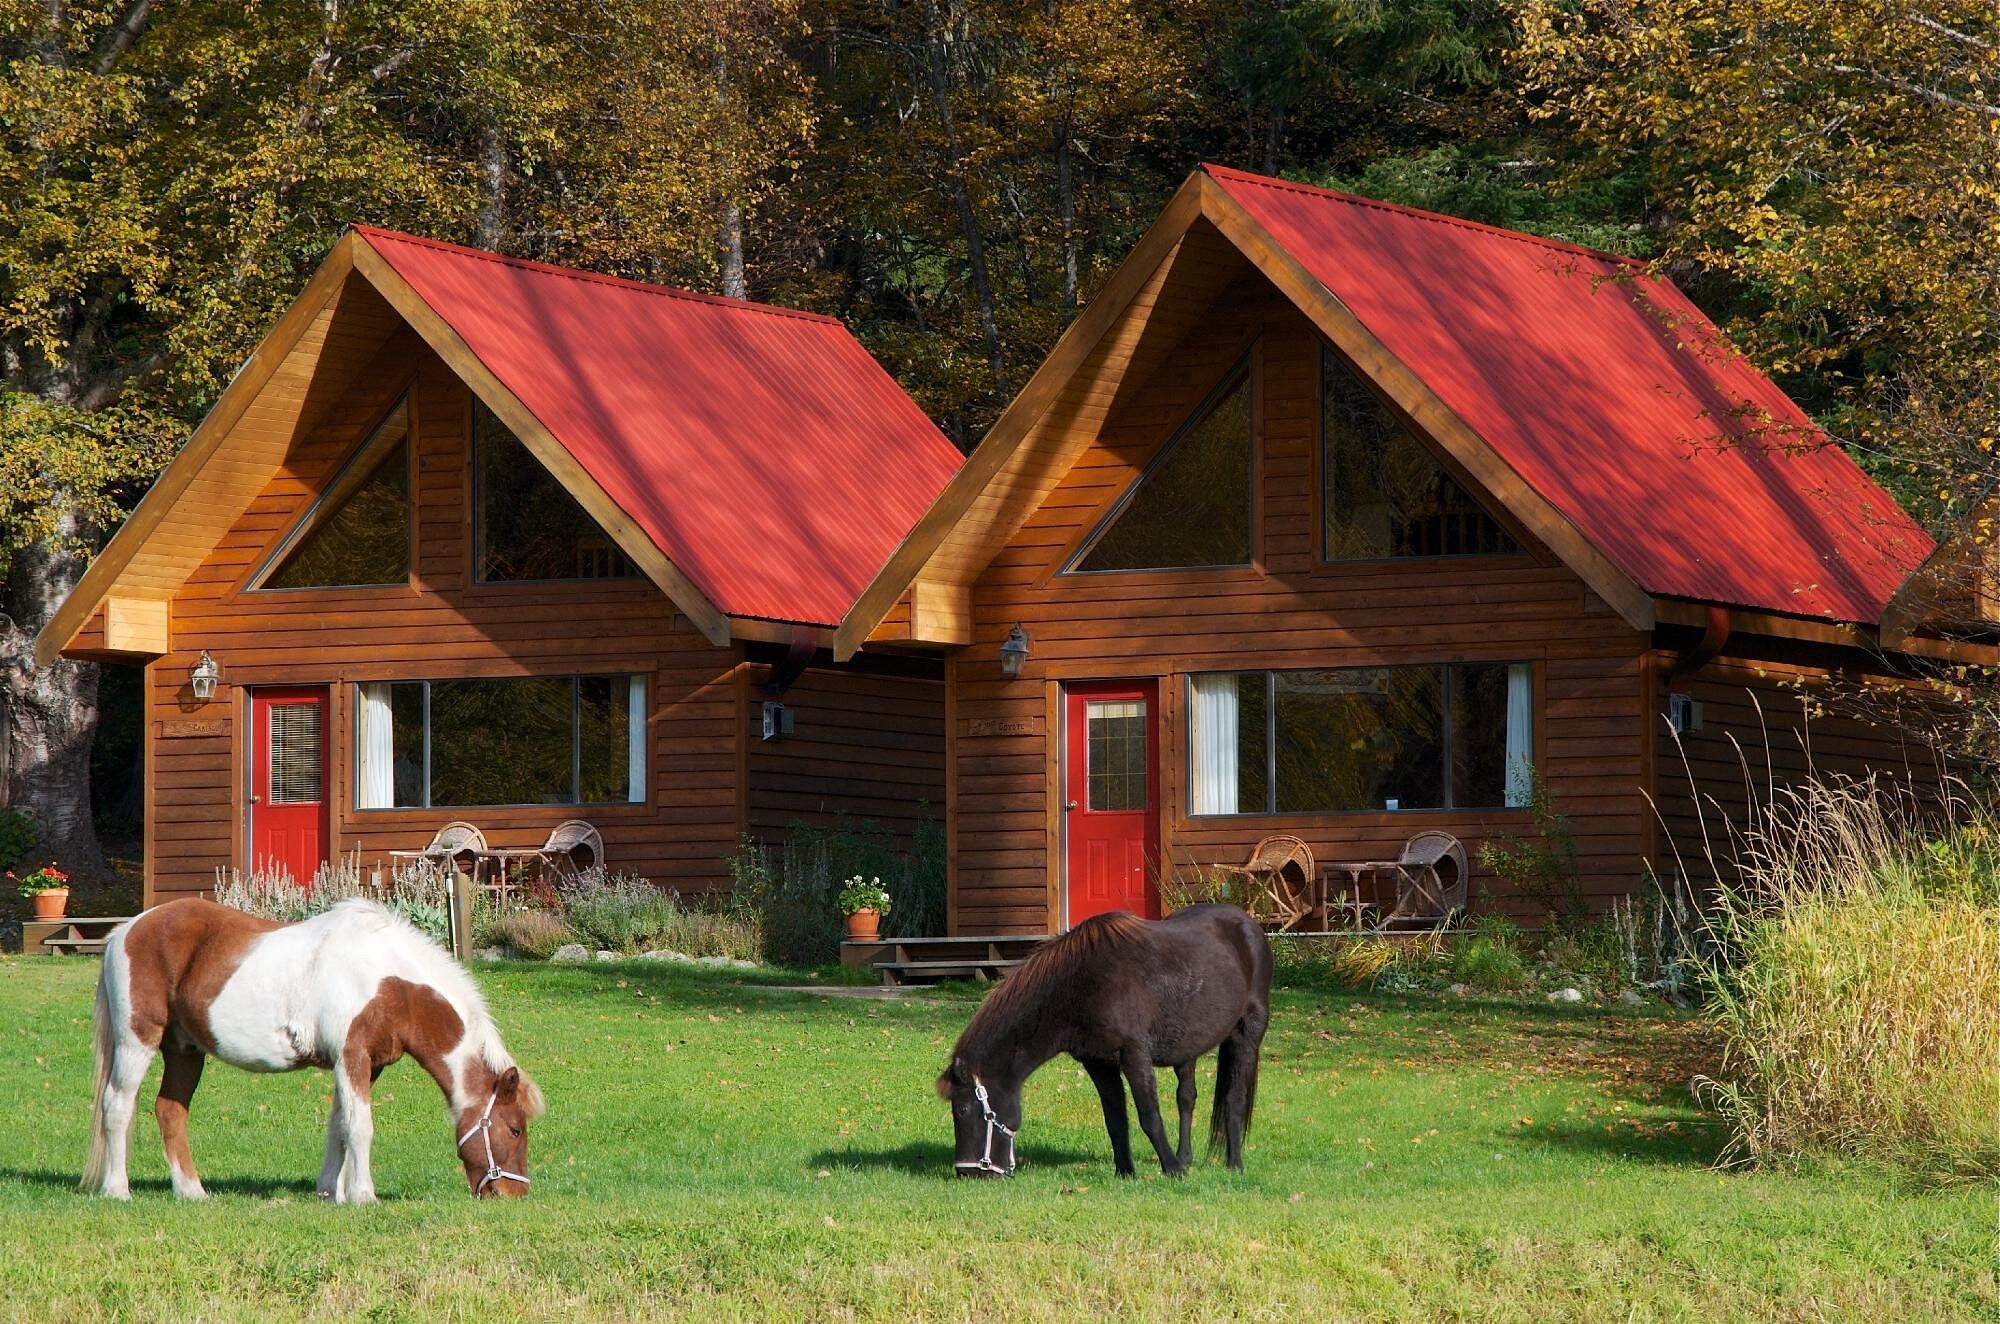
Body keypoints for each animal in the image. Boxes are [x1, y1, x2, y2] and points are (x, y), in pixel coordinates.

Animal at [83, 904, 544, 1200]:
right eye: (514, 1129)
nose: (514, 1193)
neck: (388, 982)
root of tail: (124, 931)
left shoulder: (362, 1065)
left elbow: (339, 1124)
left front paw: (329, 1192)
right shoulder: (353, 1057)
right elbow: (360, 1127)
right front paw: (362, 1195)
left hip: (185, 1050)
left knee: (170, 1111)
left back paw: (192, 1192)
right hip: (137, 1040)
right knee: (117, 1105)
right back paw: (117, 1191)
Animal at [932, 904, 1264, 1184]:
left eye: (962, 1109)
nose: (968, 1172)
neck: (1082, 985)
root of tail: (1247, 923)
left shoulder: (1134, 1055)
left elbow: (1149, 1116)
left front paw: (1172, 1170)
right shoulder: (1097, 1062)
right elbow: (1115, 1119)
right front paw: (1126, 1172)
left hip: (1247, 1033)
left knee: (1234, 1099)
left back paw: (1234, 1164)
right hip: (1187, 1050)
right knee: (1186, 1098)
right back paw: (1186, 1157)